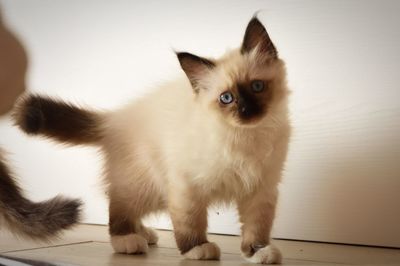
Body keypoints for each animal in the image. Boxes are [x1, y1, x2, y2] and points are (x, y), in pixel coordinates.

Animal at [12, 17, 290, 264]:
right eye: (226, 98)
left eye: (257, 87)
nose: (246, 111)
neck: (246, 136)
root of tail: (114, 118)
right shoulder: (186, 186)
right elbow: (190, 221)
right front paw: (197, 249)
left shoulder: (261, 189)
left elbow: (256, 226)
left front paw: (258, 252)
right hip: (144, 184)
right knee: (119, 206)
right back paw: (128, 240)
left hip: (154, 190)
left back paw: (144, 234)